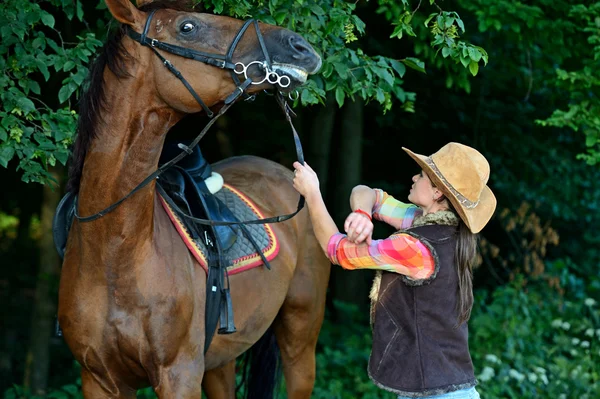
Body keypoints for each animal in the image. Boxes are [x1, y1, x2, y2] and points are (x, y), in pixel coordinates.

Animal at [58, 1, 330, 398]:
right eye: (187, 27)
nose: (300, 46)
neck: (113, 250)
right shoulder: (99, 379)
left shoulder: (179, 375)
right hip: (221, 362)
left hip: (300, 340)